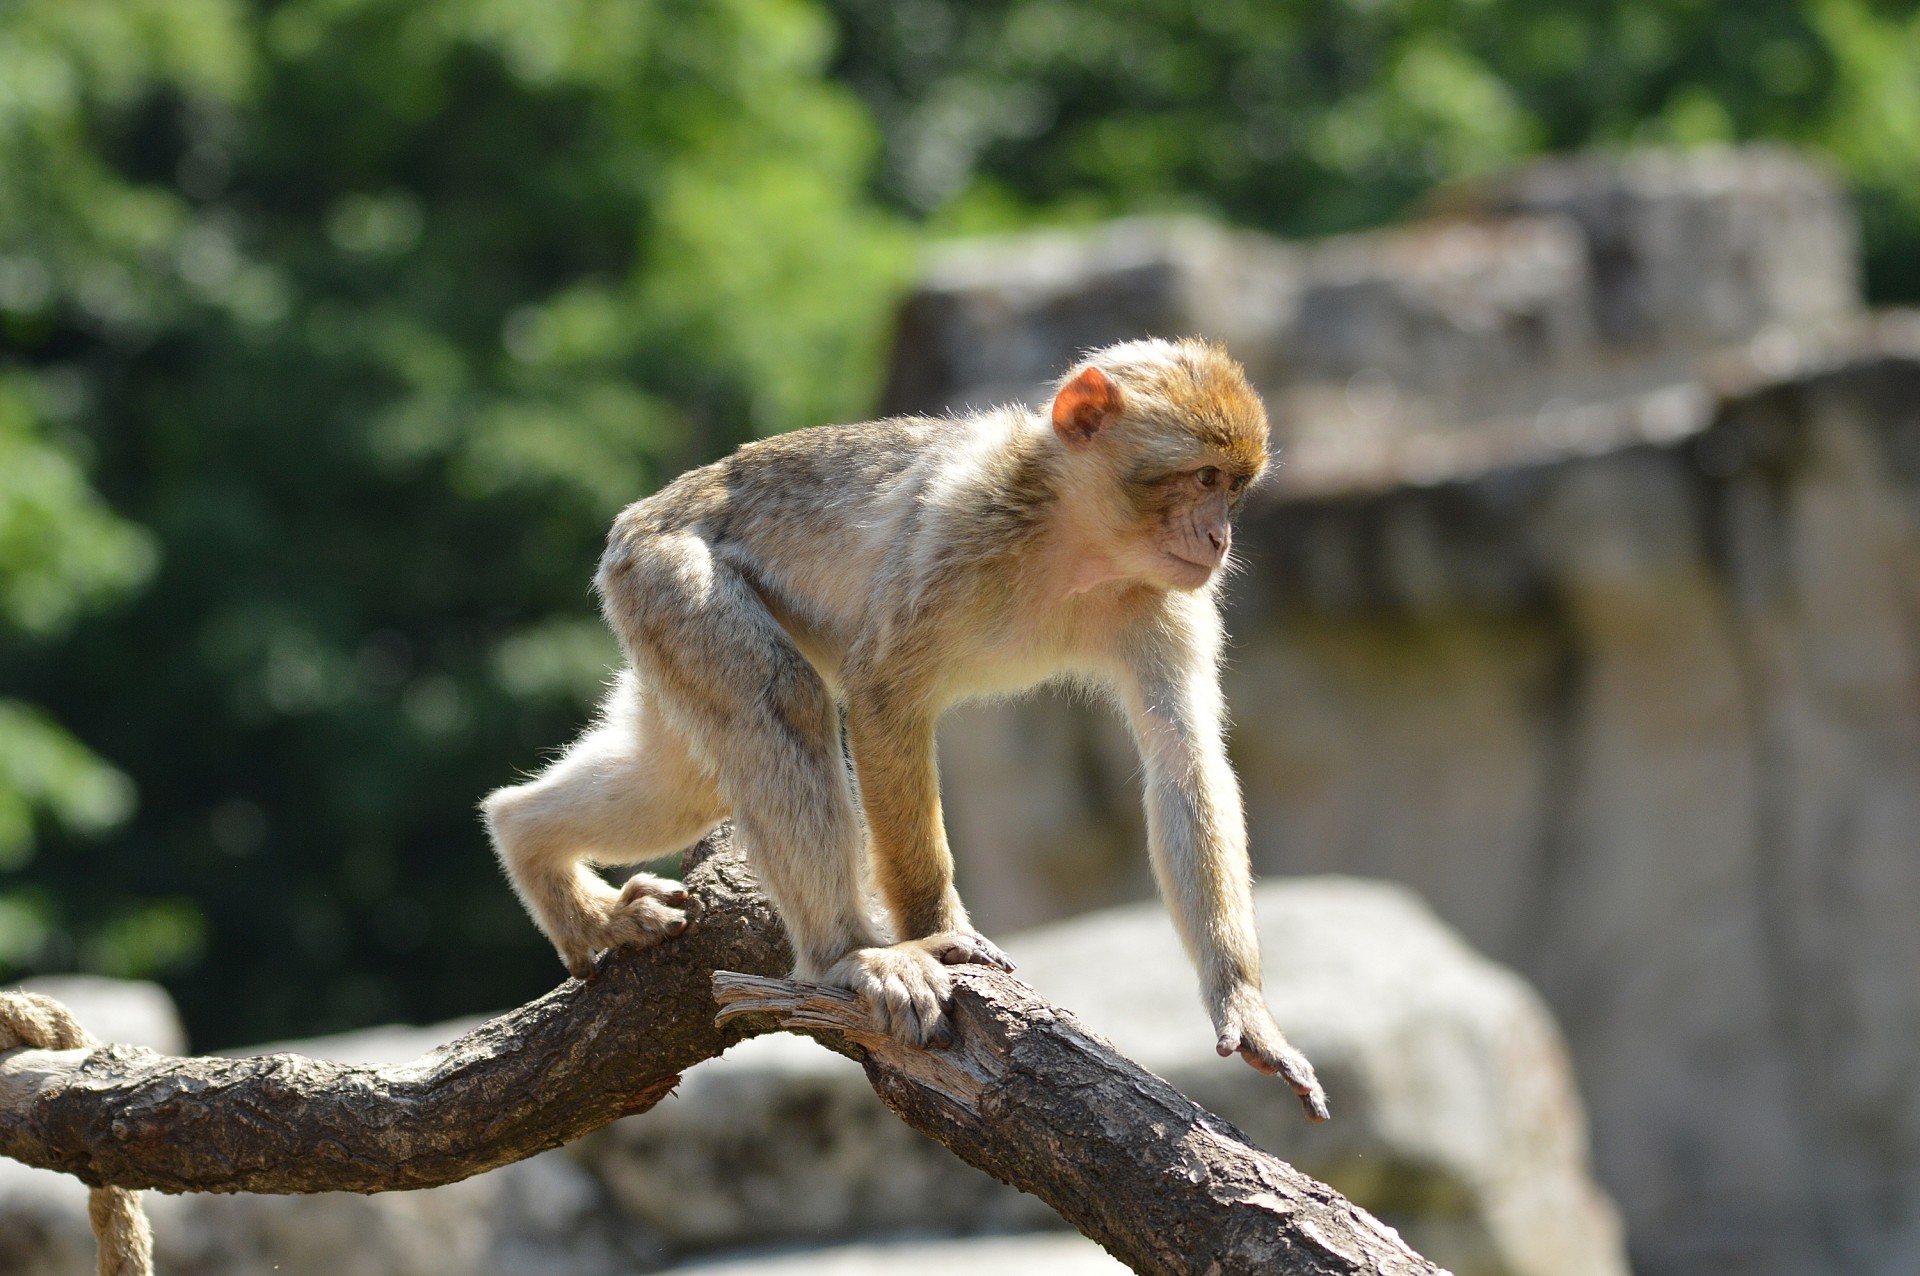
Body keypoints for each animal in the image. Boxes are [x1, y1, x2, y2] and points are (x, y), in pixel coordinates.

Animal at [483, 335, 1320, 1112]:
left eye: (1233, 488)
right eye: (1202, 478)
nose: (1219, 539)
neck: (1074, 542)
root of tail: (643, 514)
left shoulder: (1164, 600)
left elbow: (1184, 761)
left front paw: (1246, 1008)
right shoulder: (958, 529)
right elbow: (883, 697)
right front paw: (935, 931)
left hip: (655, 622)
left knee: (682, 782)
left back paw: (534, 848)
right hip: (669, 577)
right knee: (780, 703)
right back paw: (846, 955)